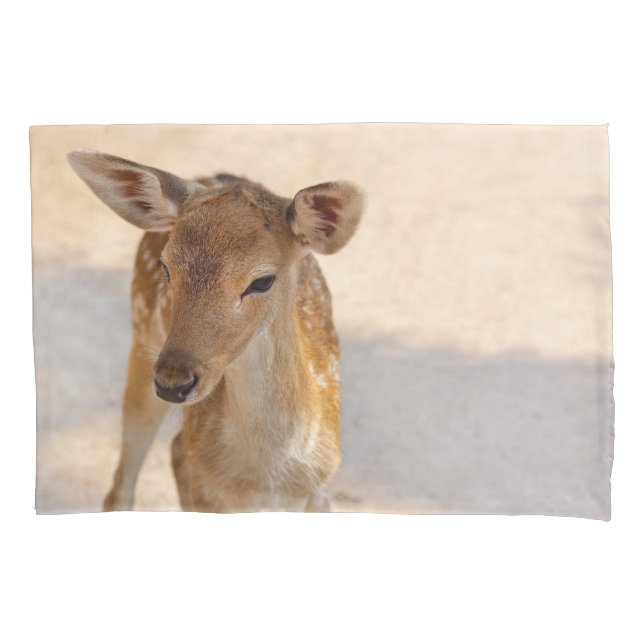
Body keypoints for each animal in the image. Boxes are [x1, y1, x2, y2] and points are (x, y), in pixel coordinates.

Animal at [68, 150, 365, 512]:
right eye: (166, 266)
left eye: (262, 281)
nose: (172, 382)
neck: (265, 480)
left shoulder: (319, 493)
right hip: (141, 339)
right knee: (123, 485)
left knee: (176, 448)